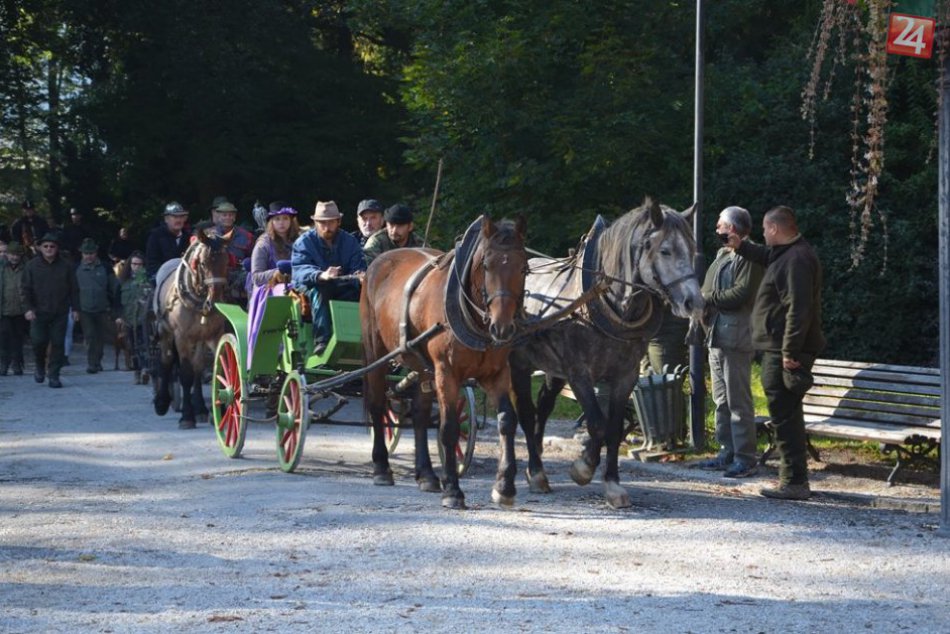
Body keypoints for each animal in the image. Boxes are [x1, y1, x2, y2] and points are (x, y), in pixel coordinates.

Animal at [155, 225, 233, 428]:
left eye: (226, 262)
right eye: (203, 264)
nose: (214, 303)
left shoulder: (214, 334)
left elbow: (217, 369)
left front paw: (218, 411)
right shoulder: (181, 337)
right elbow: (185, 373)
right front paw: (187, 416)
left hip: (199, 337)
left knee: (198, 366)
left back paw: (200, 408)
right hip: (165, 331)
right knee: (166, 360)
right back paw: (162, 402)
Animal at [362, 216, 528, 508]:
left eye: (523, 267)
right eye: (486, 265)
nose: (502, 327)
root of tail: (378, 263)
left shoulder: (497, 373)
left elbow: (507, 420)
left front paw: (504, 486)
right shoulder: (446, 372)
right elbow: (449, 427)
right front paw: (452, 490)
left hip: (422, 367)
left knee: (419, 413)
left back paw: (426, 474)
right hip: (377, 353)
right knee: (377, 404)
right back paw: (382, 467)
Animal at [512, 198, 708, 508]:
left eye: (692, 250)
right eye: (665, 250)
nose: (694, 302)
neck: (610, 303)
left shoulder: (625, 375)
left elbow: (614, 429)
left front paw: (612, 484)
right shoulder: (579, 374)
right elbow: (597, 424)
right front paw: (583, 468)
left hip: (553, 369)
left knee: (542, 407)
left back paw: (537, 468)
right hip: (518, 364)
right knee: (526, 413)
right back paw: (535, 471)